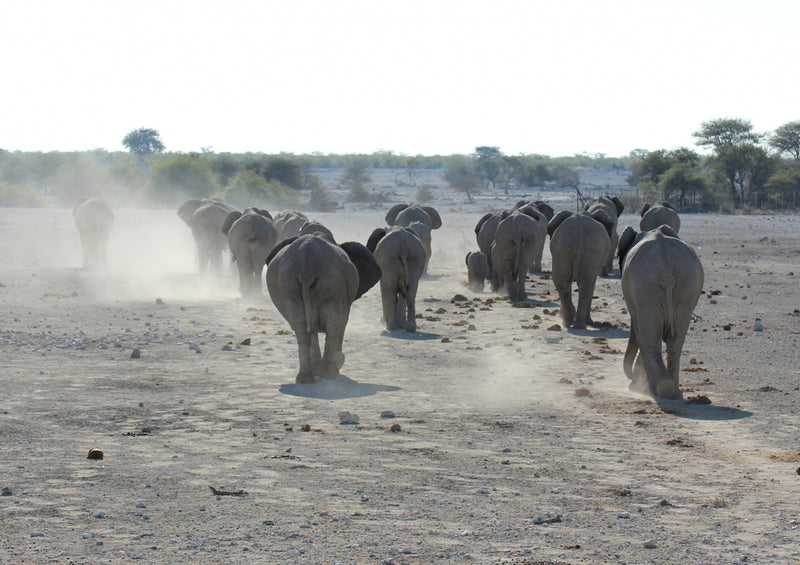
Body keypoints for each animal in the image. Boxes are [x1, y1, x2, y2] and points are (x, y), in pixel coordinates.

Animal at [266, 232, 382, 384]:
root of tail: (306, 267)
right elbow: (341, 323)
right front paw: (337, 361)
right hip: (332, 286)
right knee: (334, 324)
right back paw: (330, 374)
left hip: (289, 285)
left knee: (302, 327)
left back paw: (307, 379)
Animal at [616, 223, 704, 398]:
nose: (631, 376)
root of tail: (667, 272)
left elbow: (640, 332)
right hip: (686, 287)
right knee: (675, 341)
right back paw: (673, 391)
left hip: (646, 289)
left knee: (649, 339)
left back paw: (656, 389)